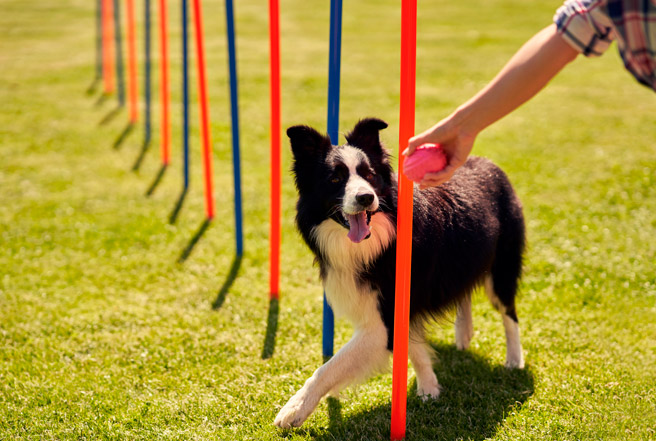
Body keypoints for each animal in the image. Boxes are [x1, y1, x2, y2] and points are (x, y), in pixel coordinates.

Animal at [274, 118, 524, 428]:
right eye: (335, 179)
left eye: (369, 175)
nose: (365, 197)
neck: (376, 243)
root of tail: (488, 163)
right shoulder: (399, 309)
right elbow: (413, 347)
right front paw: (429, 387)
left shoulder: (383, 320)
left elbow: (330, 367)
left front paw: (293, 409)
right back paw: (464, 334)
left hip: (503, 265)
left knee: (509, 312)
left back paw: (514, 359)